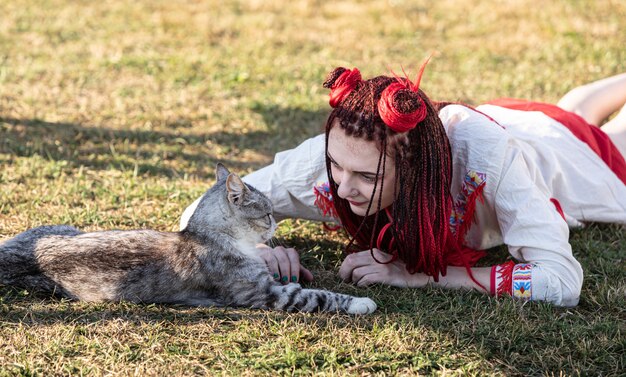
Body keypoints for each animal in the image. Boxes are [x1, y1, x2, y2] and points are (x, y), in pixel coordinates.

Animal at [0, 164, 376, 314]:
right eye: (267, 214)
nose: (274, 227)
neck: (207, 236)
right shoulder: (270, 293)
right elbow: (320, 296)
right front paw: (362, 303)